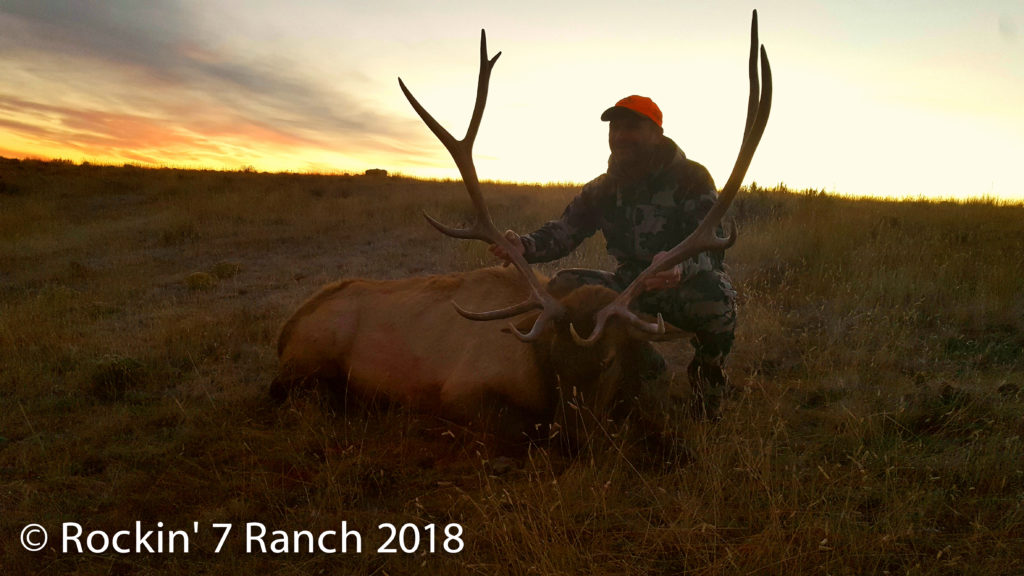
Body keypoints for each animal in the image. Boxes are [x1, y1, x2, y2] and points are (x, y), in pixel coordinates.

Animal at [268, 11, 770, 446]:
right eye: (554, 360)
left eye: (609, 360)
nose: (575, 439)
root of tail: (286, 329)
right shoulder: (462, 393)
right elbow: (524, 429)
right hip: (311, 363)